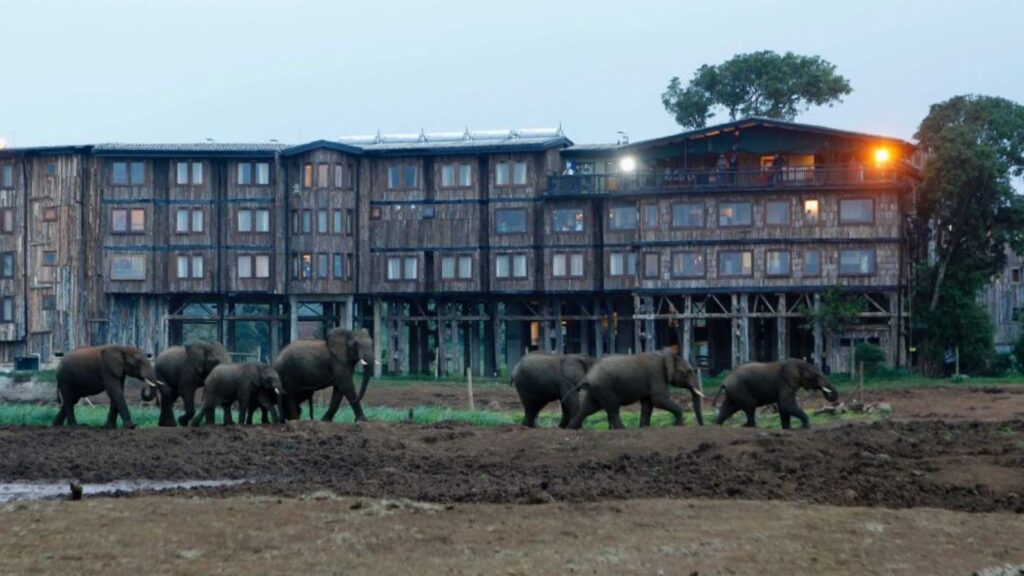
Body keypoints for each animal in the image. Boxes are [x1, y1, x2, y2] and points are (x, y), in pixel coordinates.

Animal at [569, 348, 704, 428]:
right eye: (689, 371)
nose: (701, 426)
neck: (665, 355)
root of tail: (588, 376)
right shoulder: (656, 374)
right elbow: (659, 400)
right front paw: (678, 425)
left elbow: (648, 403)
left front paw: (644, 427)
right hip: (604, 387)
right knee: (612, 409)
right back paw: (622, 429)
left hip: (596, 389)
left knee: (588, 408)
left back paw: (571, 428)